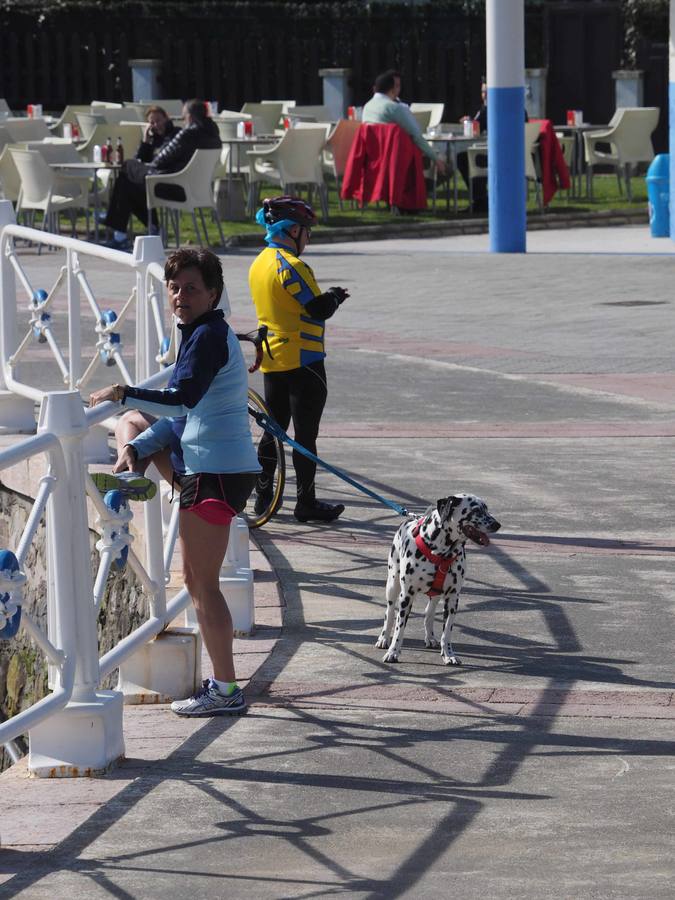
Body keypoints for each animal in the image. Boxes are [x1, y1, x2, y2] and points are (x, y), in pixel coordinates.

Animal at [378, 496, 500, 664]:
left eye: (486, 508)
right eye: (475, 510)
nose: (497, 525)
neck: (442, 553)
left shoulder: (452, 599)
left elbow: (447, 632)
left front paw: (448, 655)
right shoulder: (406, 596)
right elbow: (399, 629)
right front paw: (393, 652)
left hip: (436, 595)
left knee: (429, 613)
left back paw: (430, 638)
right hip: (393, 585)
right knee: (389, 613)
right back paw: (383, 638)